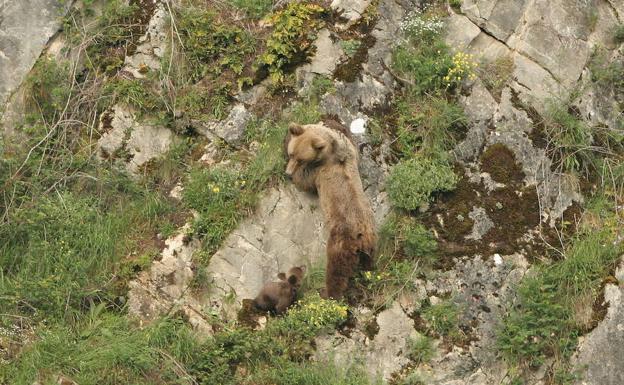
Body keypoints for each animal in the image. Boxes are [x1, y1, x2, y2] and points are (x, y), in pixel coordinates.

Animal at [282, 121, 376, 298]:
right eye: (292, 154)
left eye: (300, 159)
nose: (288, 173)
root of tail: (360, 235)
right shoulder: (348, 147)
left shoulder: (318, 170)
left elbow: (304, 182)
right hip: (371, 241)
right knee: (369, 261)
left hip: (340, 242)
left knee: (336, 271)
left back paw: (328, 292)